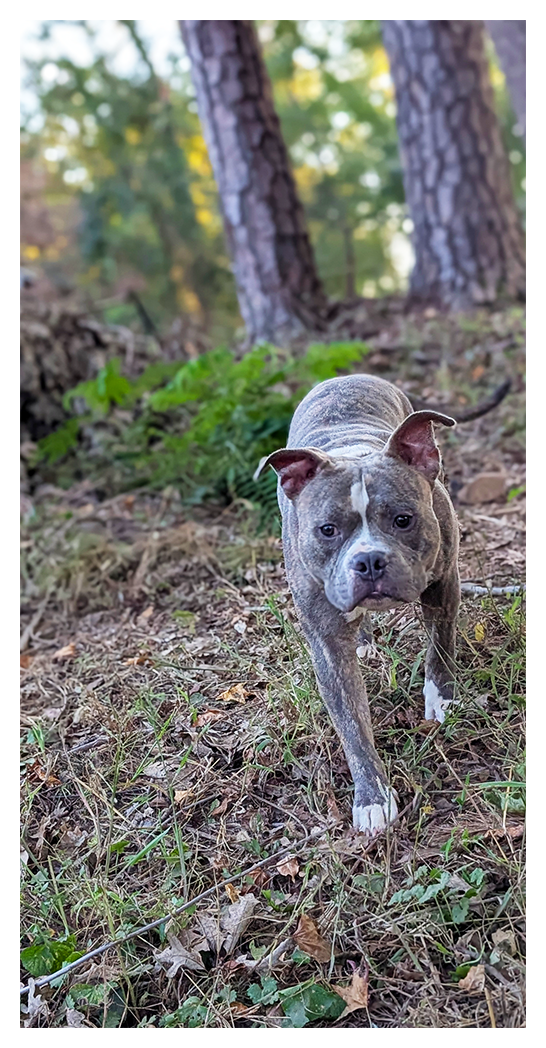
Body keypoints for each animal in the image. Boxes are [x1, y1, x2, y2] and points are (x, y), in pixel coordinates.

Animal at [253, 373, 456, 838]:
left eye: (403, 519)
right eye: (327, 530)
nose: (368, 560)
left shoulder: (443, 585)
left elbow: (439, 647)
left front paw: (442, 701)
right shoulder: (328, 646)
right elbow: (353, 726)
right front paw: (372, 799)